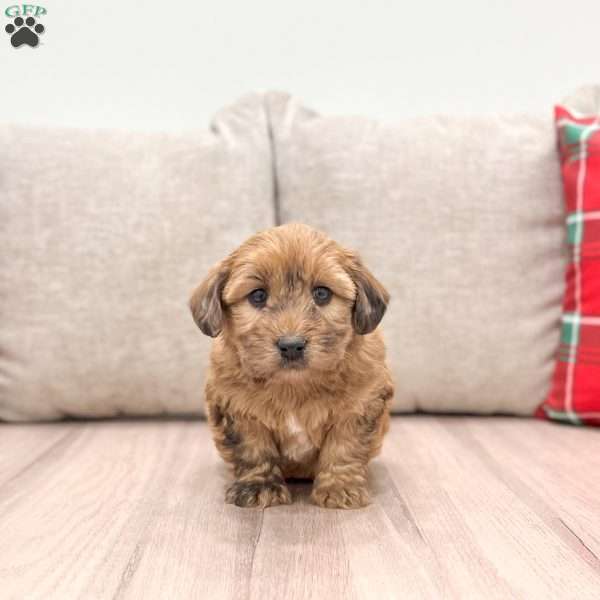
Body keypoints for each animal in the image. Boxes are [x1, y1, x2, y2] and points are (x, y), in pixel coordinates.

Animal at [189, 223, 394, 508]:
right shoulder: (237, 408)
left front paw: (340, 487)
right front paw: (259, 486)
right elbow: (254, 449)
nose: (291, 345)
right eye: (258, 295)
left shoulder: (360, 405)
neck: (294, 385)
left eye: (322, 293)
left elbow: (344, 446)